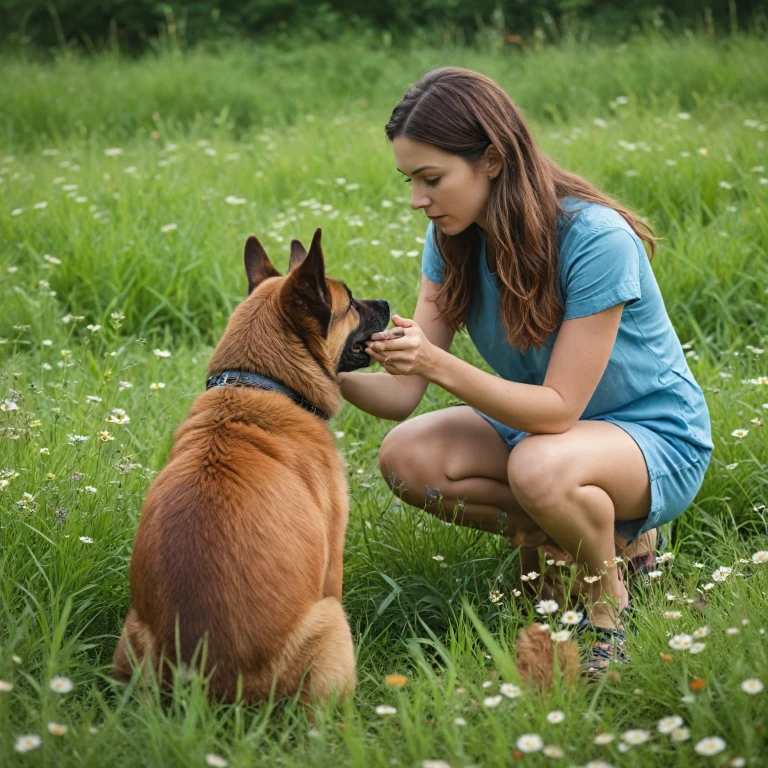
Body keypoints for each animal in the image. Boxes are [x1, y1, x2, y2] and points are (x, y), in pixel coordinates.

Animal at [112, 226, 390, 704]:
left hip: (132, 634)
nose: (389, 304)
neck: (259, 384)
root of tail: (205, 685)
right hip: (331, 622)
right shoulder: (332, 562)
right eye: (352, 302)